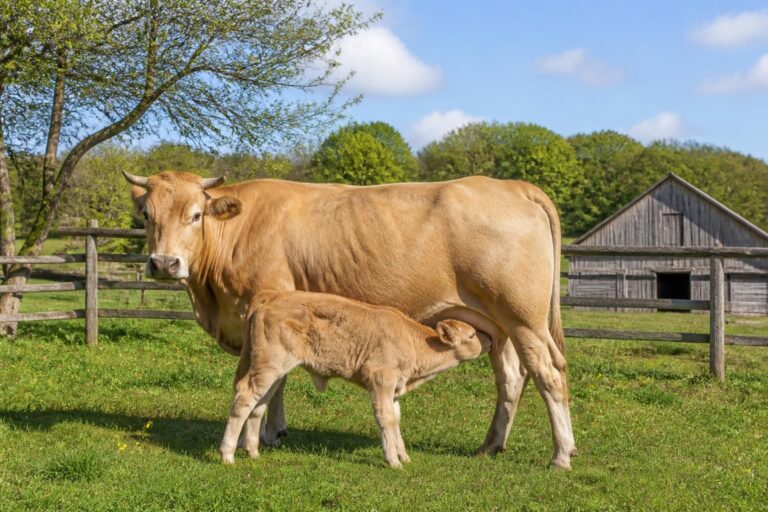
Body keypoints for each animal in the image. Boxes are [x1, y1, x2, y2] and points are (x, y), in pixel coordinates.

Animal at [220, 290, 489, 468]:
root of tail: (269, 298)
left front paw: (403, 455)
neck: (413, 340)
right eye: (472, 334)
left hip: (271, 369)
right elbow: (385, 419)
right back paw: (228, 454)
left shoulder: (394, 388)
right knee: (244, 398)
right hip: (268, 365)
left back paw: (253, 451)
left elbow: (395, 419)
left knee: (259, 404)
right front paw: (393, 460)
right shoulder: (380, 381)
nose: (490, 339)